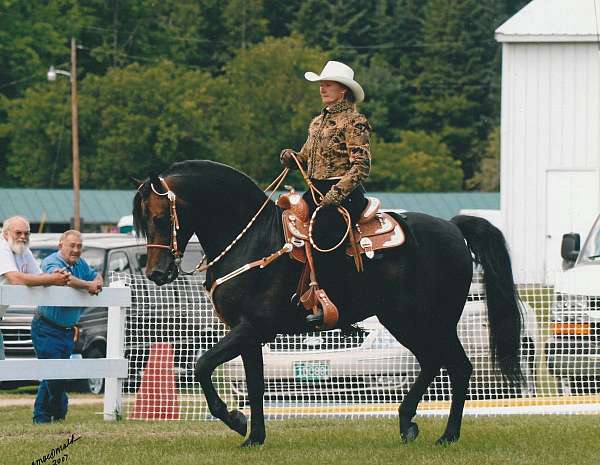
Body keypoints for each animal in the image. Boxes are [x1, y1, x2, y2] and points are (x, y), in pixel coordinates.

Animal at [134, 159, 524, 446]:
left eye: (159, 217)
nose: (156, 273)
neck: (253, 241)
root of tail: (453, 227)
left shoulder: (253, 327)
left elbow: (201, 365)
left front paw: (235, 420)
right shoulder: (249, 334)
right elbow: (255, 385)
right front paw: (254, 438)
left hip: (429, 320)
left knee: (457, 367)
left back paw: (447, 435)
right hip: (404, 320)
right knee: (434, 362)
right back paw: (407, 422)